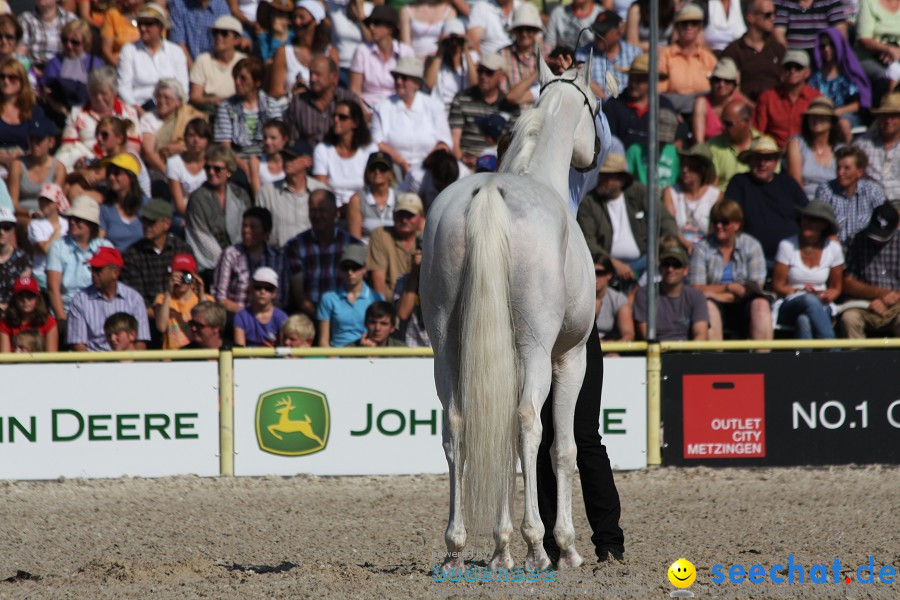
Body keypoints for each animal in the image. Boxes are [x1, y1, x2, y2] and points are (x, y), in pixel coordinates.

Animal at [422, 52, 604, 572]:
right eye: (598, 106)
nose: (597, 153)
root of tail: (487, 196)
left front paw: (501, 547)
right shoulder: (570, 357)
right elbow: (561, 448)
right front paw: (563, 545)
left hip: (446, 349)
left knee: (457, 425)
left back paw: (456, 547)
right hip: (538, 350)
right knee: (528, 424)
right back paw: (539, 548)